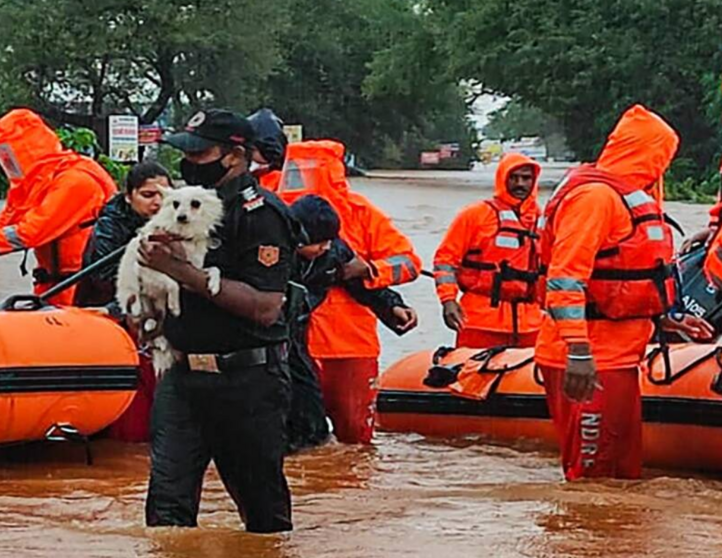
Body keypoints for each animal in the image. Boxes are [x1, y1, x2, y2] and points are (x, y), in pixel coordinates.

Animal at [116, 187, 224, 376]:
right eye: (175, 204)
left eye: (196, 203)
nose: (180, 216)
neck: (180, 235)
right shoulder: (147, 269)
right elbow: (171, 283)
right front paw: (175, 306)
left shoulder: (191, 271)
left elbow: (214, 269)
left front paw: (214, 284)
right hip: (137, 301)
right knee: (146, 319)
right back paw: (153, 329)